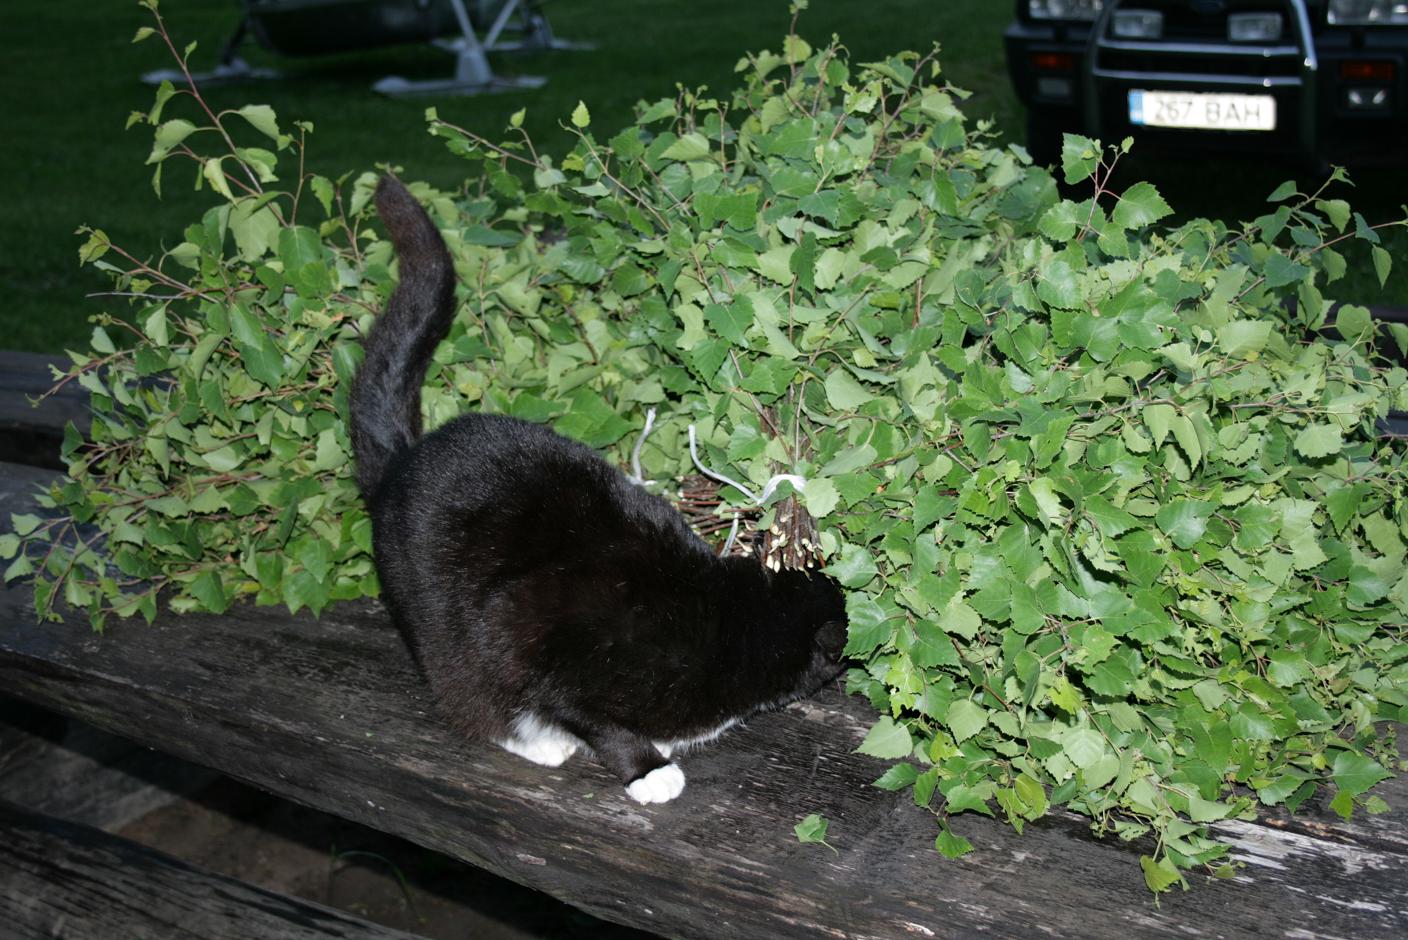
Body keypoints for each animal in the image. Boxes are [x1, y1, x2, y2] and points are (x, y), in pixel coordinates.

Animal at [350, 178, 844, 810]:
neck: (731, 617)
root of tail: (402, 462)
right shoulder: (548, 659)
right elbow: (600, 724)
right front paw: (648, 769)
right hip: (444, 636)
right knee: (471, 697)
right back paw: (538, 743)